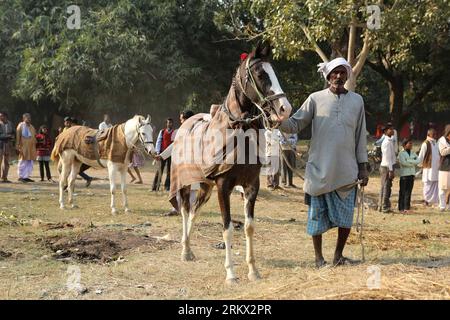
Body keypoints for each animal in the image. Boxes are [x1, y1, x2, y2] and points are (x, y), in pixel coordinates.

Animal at [172, 42, 292, 284]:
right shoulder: (222, 186)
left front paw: (253, 270)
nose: (285, 108)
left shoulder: (251, 185)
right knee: (185, 210)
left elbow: (249, 227)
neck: (237, 131)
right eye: (260, 74)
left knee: (194, 211)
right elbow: (227, 228)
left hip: (205, 186)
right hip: (186, 183)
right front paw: (230, 273)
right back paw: (185, 249)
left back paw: (189, 247)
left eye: (274, 72)